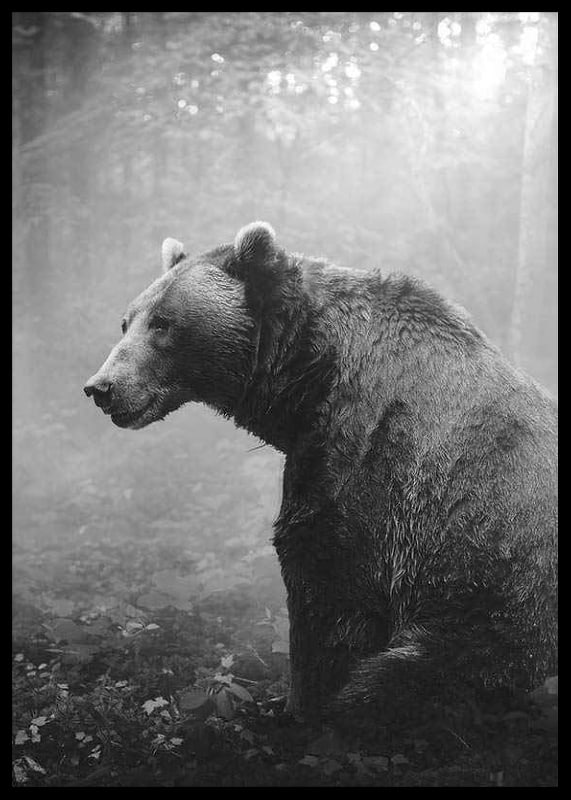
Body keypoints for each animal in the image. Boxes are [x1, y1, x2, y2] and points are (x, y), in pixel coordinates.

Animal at [84, 222, 557, 724]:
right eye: (127, 321)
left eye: (163, 322)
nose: (101, 388)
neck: (308, 379)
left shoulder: (371, 461)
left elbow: (328, 586)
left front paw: (296, 706)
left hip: (501, 610)